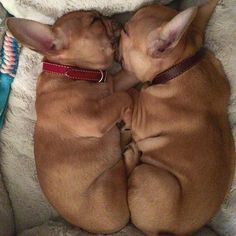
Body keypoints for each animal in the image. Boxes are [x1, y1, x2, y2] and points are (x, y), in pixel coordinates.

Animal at [119, 0, 235, 235]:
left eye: (125, 32)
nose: (118, 28)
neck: (180, 66)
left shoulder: (142, 118)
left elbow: (133, 94)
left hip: (148, 177)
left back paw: (131, 156)